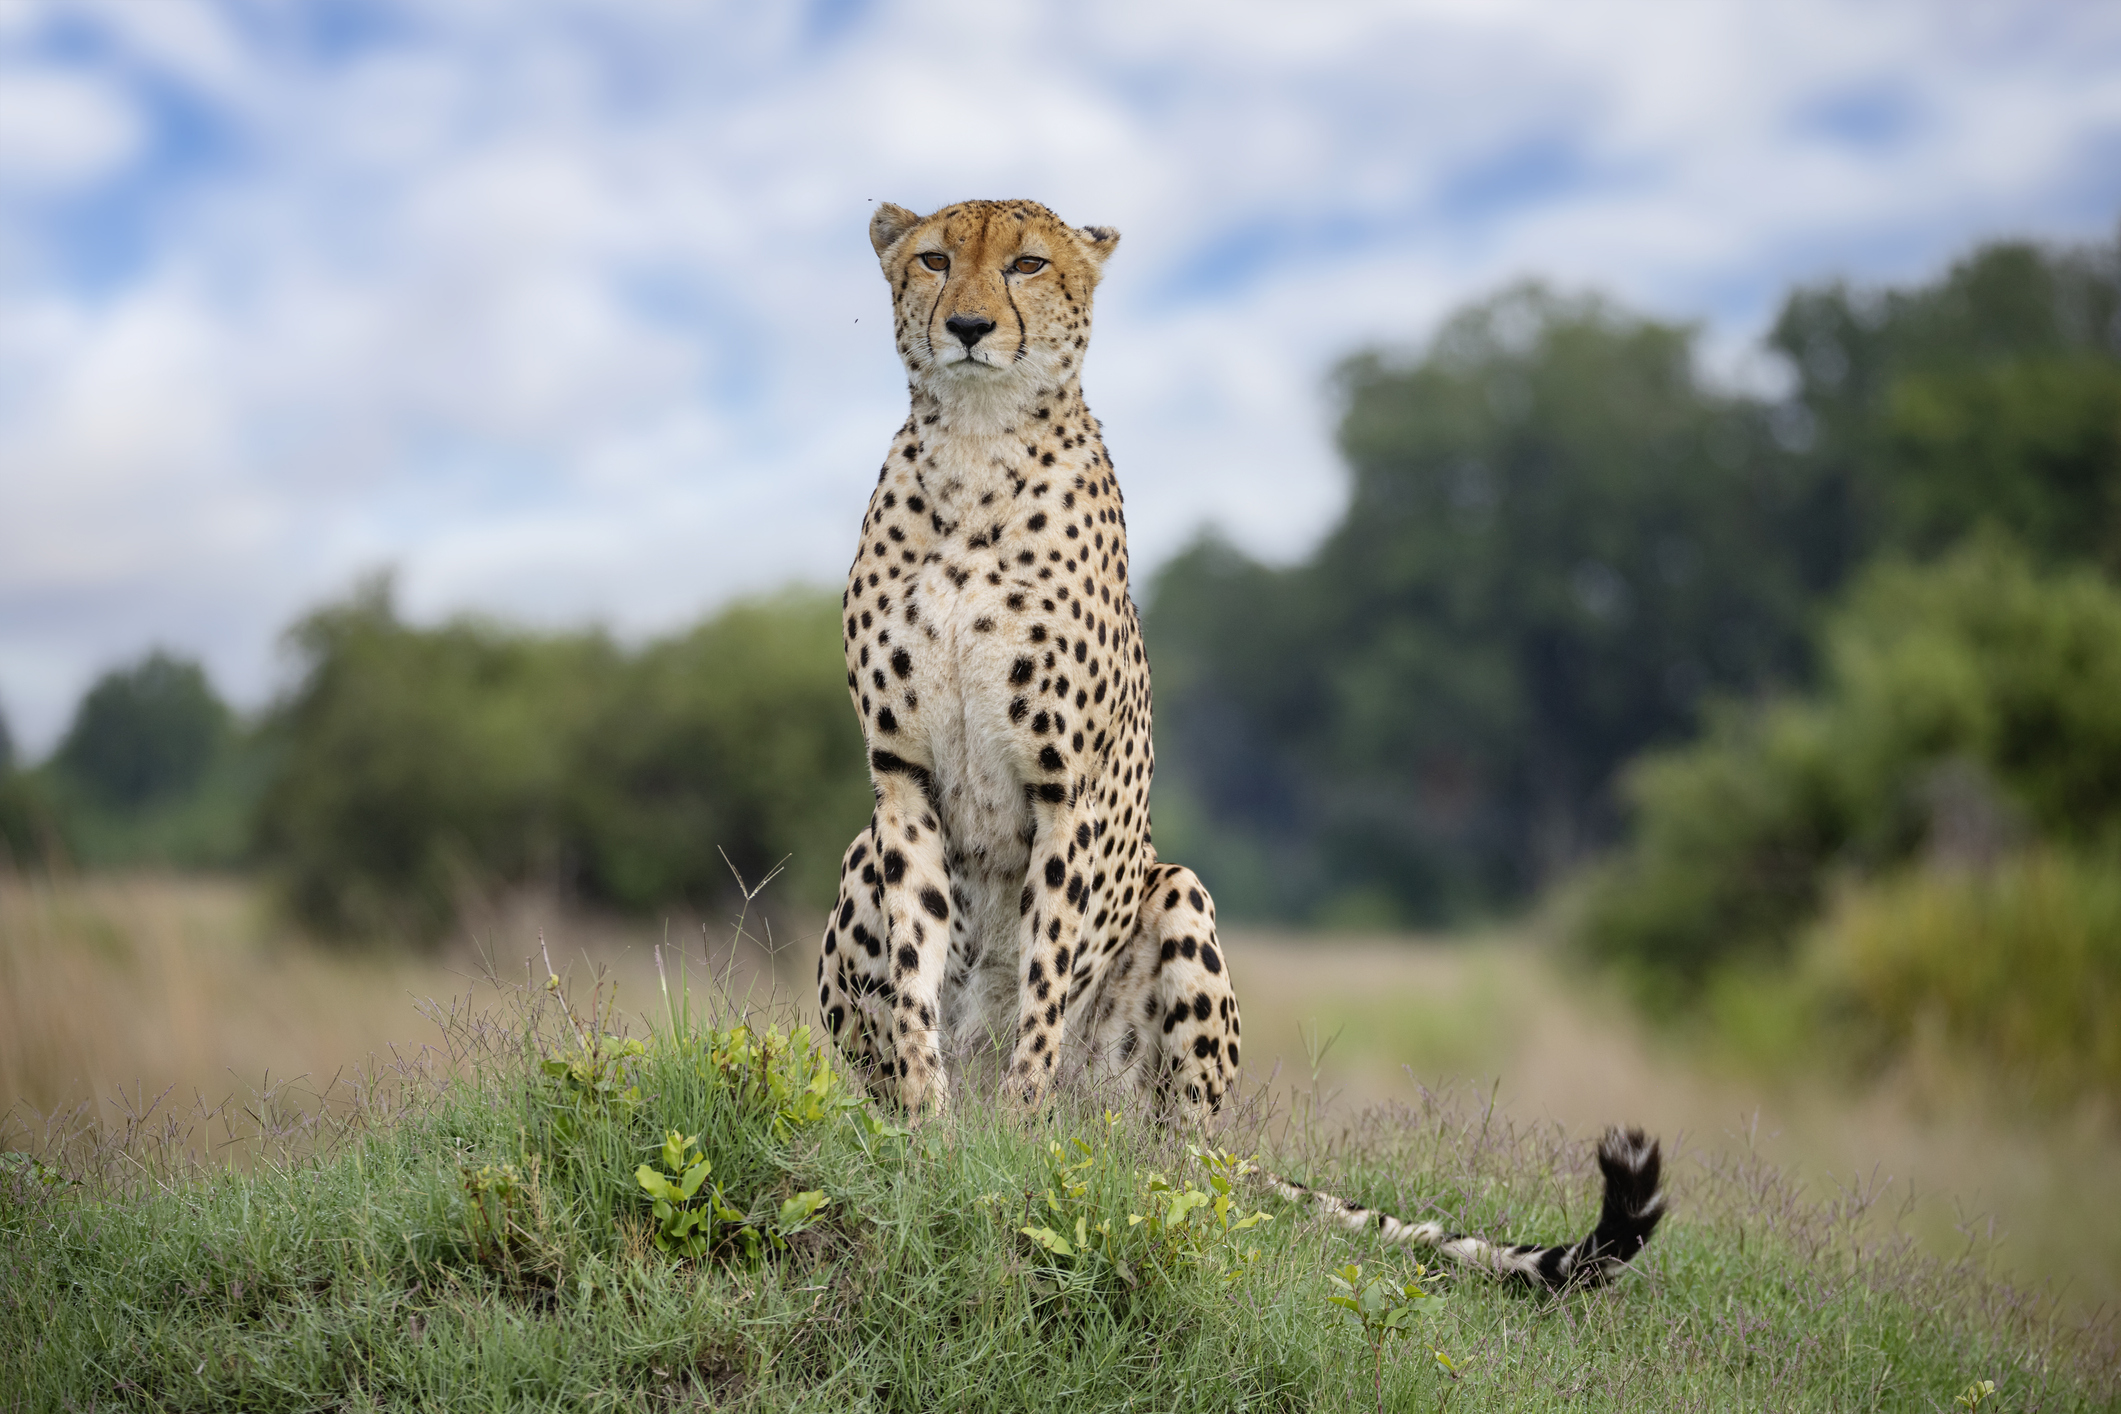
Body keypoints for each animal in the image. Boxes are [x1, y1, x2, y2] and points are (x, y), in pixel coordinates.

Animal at [810, 201, 1654, 1297]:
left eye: (1028, 262)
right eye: (934, 259)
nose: (966, 325)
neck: (976, 445)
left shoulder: (1073, 792)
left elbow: (1041, 994)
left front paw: (1008, 1143)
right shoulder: (902, 785)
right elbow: (914, 982)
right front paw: (926, 1140)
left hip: (1177, 911)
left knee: (1168, 1161)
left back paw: (1103, 1160)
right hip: (860, 856)